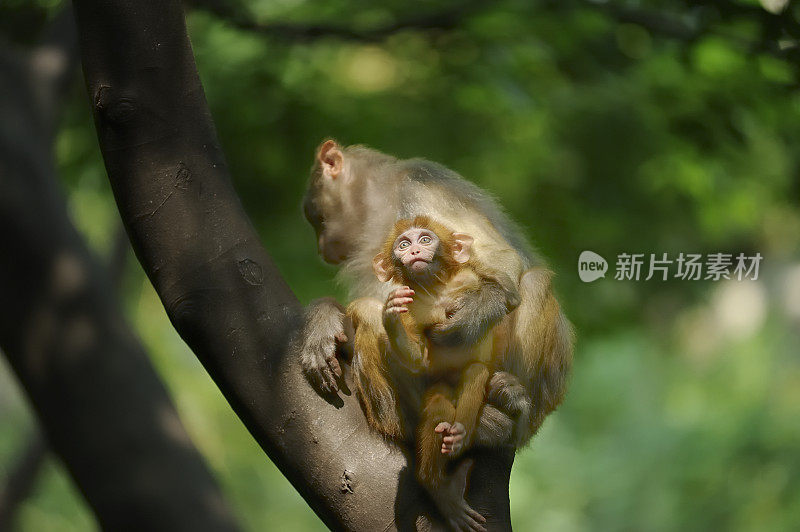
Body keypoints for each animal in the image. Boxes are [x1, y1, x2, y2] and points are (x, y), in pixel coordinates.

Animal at [296, 139, 572, 446]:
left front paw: (475, 313)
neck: (376, 205)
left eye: (318, 220)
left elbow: (501, 258)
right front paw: (324, 320)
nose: (322, 246)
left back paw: (508, 404)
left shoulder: (420, 185)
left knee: (535, 281)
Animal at [370, 215, 496, 528]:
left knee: (476, 371)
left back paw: (459, 435)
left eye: (425, 239)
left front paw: (464, 318)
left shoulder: (467, 279)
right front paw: (390, 316)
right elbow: (418, 356)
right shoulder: (413, 304)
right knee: (439, 402)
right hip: (439, 384)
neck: (435, 290)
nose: (415, 251)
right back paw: (436, 486)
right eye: (403, 244)